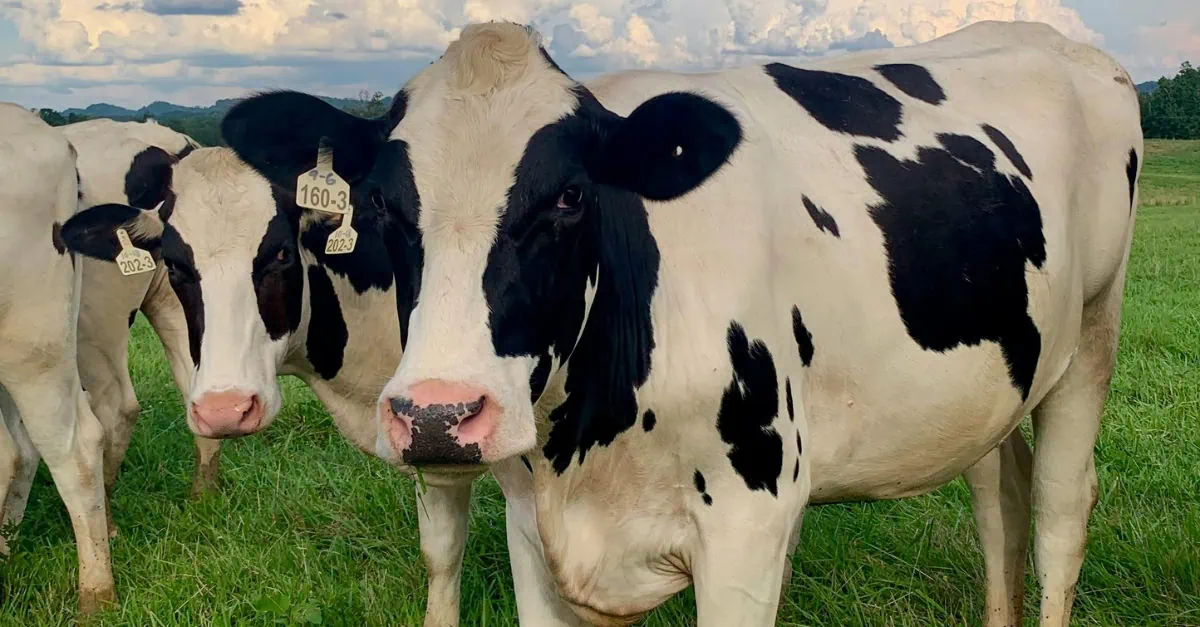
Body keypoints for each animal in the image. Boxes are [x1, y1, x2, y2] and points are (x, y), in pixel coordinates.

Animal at [219, 20, 1144, 626]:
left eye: (570, 196)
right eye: (380, 203)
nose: (440, 416)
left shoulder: (751, 522)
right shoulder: (532, 526)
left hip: (1093, 336)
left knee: (1059, 511)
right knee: (1000, 499)